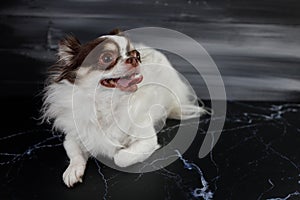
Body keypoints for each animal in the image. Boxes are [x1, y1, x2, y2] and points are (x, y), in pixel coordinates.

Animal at [41, 30, 204, 188]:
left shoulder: (148, 141)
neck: (106, 104)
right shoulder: (73, 136)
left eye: (136, 55)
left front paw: (116, 153)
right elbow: (74, 151)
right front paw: (73, 170)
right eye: (107, 58)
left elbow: (121, 158)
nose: (134, 59)